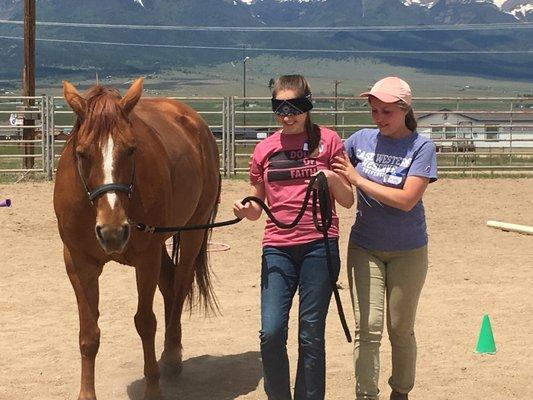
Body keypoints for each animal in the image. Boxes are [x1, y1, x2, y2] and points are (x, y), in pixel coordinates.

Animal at [53, 76, 219, 398]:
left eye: (131, 149)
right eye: (82, 153)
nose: (113, 231)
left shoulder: (146, 259)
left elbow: (145, 323)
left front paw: (152, 387)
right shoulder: (78, 264)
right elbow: (89, 333)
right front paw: (86, 393)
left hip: (192, 233)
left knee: (180, 285)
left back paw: (171, 357)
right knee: (169, 282)